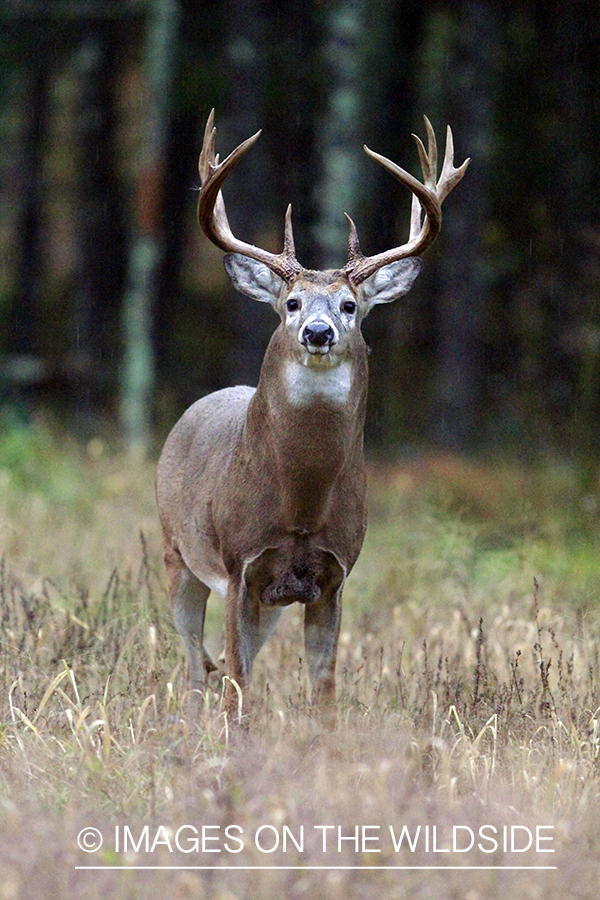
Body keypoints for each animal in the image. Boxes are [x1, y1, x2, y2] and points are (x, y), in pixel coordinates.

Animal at [156, 109, 468, 724]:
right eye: (292, 303)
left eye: (350, 306)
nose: (318, 332)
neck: (300, 503)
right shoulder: (240, 564)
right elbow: (239, 683)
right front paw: (236, 743)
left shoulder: (333, 575)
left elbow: (322, 688)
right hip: (176, 552)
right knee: (195, 660)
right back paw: (191, 722)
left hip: (266, 599)